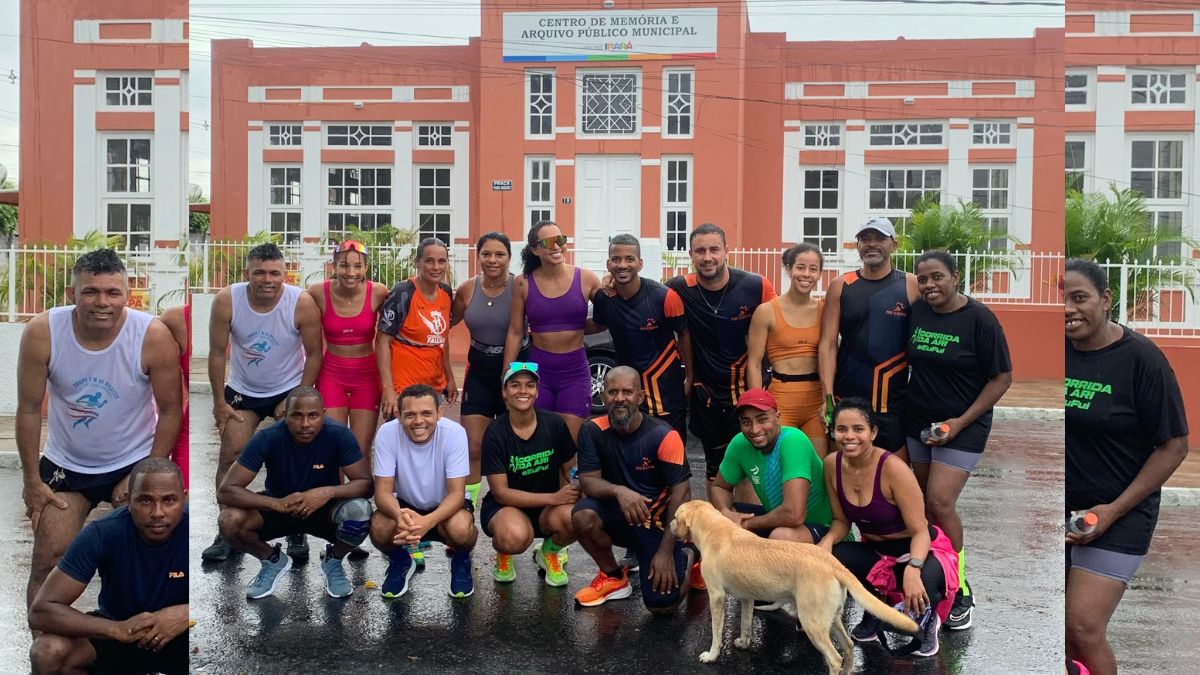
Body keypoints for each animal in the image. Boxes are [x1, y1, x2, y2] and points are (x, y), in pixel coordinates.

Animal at [672, 497, 912, 667]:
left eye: (675, 516)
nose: (671, 525)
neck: (713, 529)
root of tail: (834, 564)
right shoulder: (747, 599)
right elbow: (746, 625)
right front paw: (744, 643)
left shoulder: (716, 597)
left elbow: (716, 631)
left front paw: (711, 655)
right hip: (831, 618)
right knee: (849, 647)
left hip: (812, 622)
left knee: (835, 658)